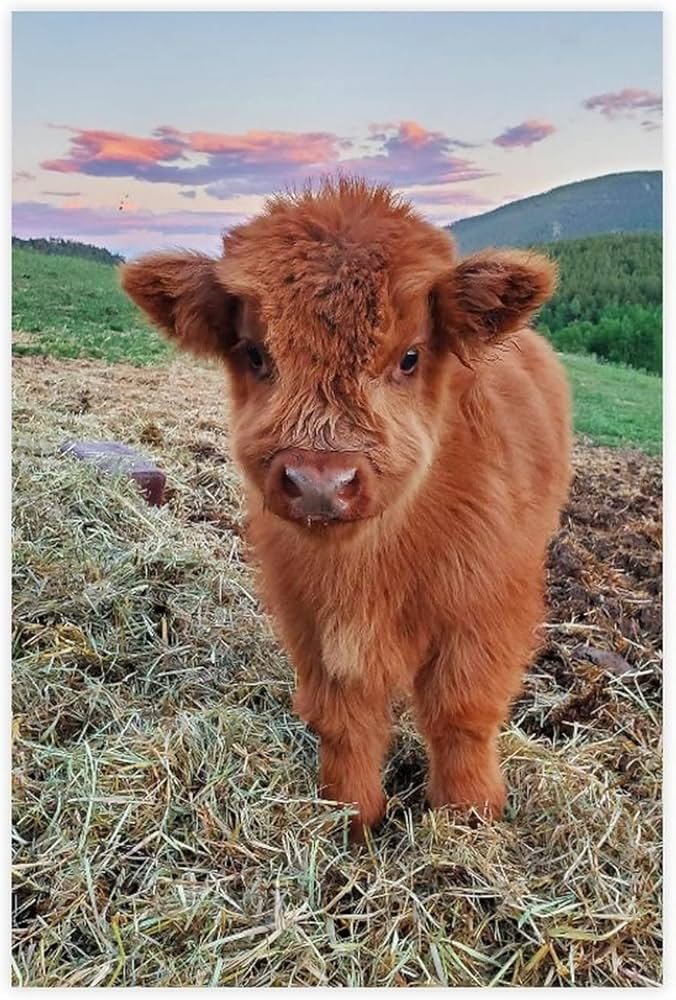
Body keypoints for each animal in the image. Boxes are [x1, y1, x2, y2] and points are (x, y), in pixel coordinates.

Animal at [121, 177, 571, 841]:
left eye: (409, 356)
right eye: (255, 353)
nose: (319, 483)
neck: (371, 565)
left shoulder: (486, 608)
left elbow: (461, 710)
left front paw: (468, 817)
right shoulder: (310, 615)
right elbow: (344, 718)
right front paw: (350, 818)